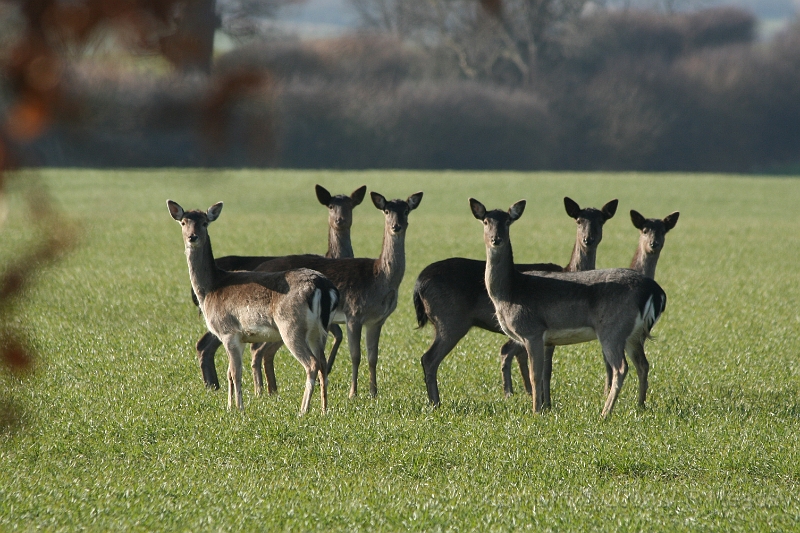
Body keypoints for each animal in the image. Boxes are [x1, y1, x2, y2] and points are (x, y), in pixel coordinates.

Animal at [167, 200, 339, 414]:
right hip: (320, 330)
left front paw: (239, 408)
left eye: (205, 223)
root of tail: (323, 286)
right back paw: (324, 409)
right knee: (323, 363)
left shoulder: (228, 332)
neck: (210, 288)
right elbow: (229, 373)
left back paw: (303, 410)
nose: (193, 237)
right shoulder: (240, 337)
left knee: (312, 364)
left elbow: (235, 372)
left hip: (291, 327)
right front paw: (230, 407)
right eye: (184, 222)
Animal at [252, 191, 423, 399]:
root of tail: (258, 269)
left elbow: (373, 356)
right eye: (387, 210)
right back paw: (259, 391)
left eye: (406, 210)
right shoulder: (354, 313)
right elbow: (355, 355)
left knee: (265, 350)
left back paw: (271, 391)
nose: (396, 226)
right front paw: (353, 393)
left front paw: (374, 392)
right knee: (256, 349)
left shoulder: (377, 320)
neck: (380, 280)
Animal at [414, 197, 618, 407]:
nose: (588, 239)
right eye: (578, 220)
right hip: (450, 320)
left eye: (601, 220)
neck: (569, 270)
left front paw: (541, 400)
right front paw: (545, 403)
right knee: (429, 358)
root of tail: (419, 283)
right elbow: (544, 369)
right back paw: (436, 403)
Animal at [470, 198, 666, 417]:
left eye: (507, 221)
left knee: (621, 368)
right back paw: (639, 407)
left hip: (612, 328)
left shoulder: (532, 331)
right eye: (486, 221)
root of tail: (654, 291)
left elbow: (535, 374)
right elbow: (543, 373)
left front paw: (536, 412)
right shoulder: (544, 339)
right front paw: (544, 408)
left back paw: (605, 413)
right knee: (643, 364)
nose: (496, 239)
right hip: (633, 333)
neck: (510, 292)